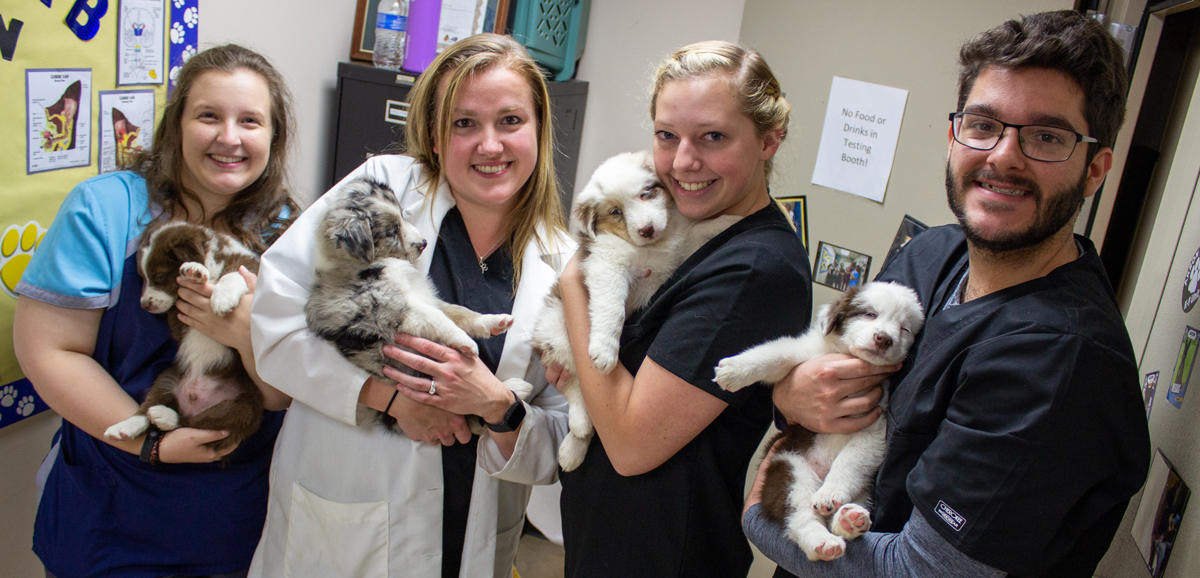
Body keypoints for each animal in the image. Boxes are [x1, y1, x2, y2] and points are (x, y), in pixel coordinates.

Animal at [105, 221, 262, 450]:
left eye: (159, 276)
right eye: (142, 279)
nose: (144, 304)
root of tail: (194, 401)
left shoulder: (250, 269)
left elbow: (234, 274)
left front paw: (220, 296)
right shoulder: (180, 320)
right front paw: (194, 272)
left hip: (245, 408)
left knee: (196, 424)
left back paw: (165, 416)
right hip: (167, 378)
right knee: (152, 409)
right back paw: (126, 427)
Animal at [302, 178, 528, 436]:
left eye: (402, 215)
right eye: (391, 232)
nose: (423, 243)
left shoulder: (423, 295)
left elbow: (456, 311)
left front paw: (493, 321)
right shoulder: (393, 308)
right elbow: (439, 318)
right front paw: (467, 343)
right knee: (473, 418)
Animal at [532, 151, 734, 472]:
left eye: (646, 193)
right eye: (615, 212)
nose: (646, 230)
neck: (650, 247)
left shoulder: (677, 249)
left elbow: (699, 228)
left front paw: (732, 218)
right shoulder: (606, 264)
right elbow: (611, 308)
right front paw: (604, 351)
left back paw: (574, 449)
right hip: (556, 333)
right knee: (576, 385)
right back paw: (578, 426)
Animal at [715, 281, 921, 561]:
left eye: (904, 328)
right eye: (870, 314)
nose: (884, 339)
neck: (851, 357)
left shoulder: (874, 427)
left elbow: (850, 461)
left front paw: (830, 494)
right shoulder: (807, 356)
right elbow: (774, 354)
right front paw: (733, 370)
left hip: (863, 491)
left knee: (822, 518)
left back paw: (847, 521)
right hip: (790, 470)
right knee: (800, 517)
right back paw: (822, 540)